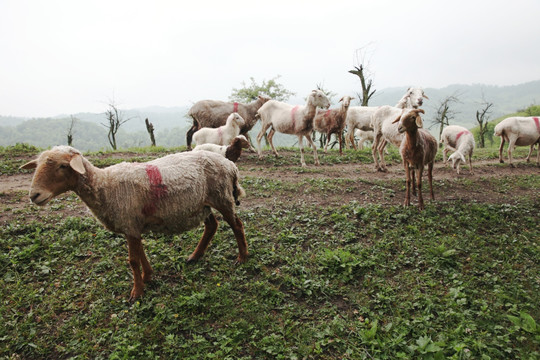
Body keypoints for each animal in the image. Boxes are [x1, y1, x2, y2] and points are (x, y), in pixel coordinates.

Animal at [20, 145, 249, 300]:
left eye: (63, 166)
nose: (34, 195)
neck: (104, 186)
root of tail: (231, 165)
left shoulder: (130, 224)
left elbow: (132, 260)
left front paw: (137, 292)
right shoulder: (133, 225)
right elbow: (140, 255)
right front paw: (147, 277)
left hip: (222, 197)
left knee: (237, 225)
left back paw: (242, 258)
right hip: (202, 204)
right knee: (211, 226)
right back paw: (195, 256)